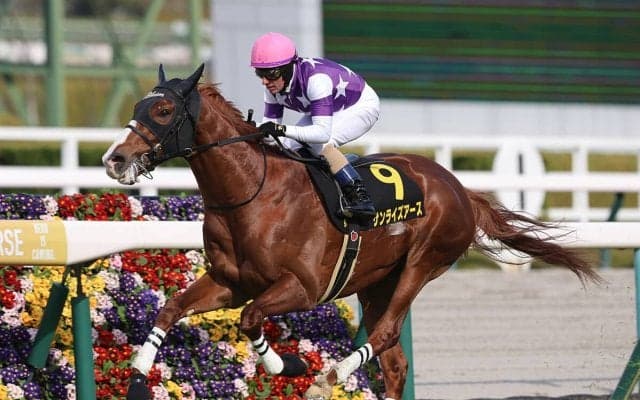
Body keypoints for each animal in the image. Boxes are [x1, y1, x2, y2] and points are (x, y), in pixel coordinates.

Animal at [102, 64, 601, 400]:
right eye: (138, 105)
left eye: (163, 109)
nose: (114, 159)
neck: (253, 194)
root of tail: (458, 188)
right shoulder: (230, 282)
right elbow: (170, 309)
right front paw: (139, 377)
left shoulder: (302, 287)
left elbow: (250, 319)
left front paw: (290, 364)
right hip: (377, 281)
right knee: (395, 360)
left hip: (422, 264)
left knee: (385, 335)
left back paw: (330, 378)